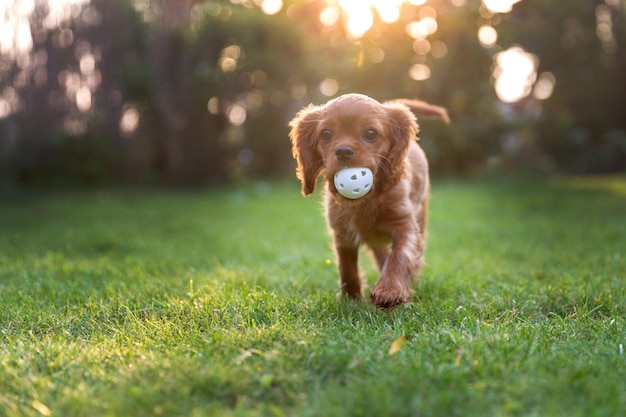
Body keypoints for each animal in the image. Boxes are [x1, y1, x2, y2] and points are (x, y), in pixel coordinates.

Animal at [288, 94, 448, 308]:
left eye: (370, 133)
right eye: (326, 134)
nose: (343, 151)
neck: (366, 200)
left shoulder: (405, 224)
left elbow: (400, 255)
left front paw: (389, 290)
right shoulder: (342, 233)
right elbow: (347, 267)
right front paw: (350, 299)